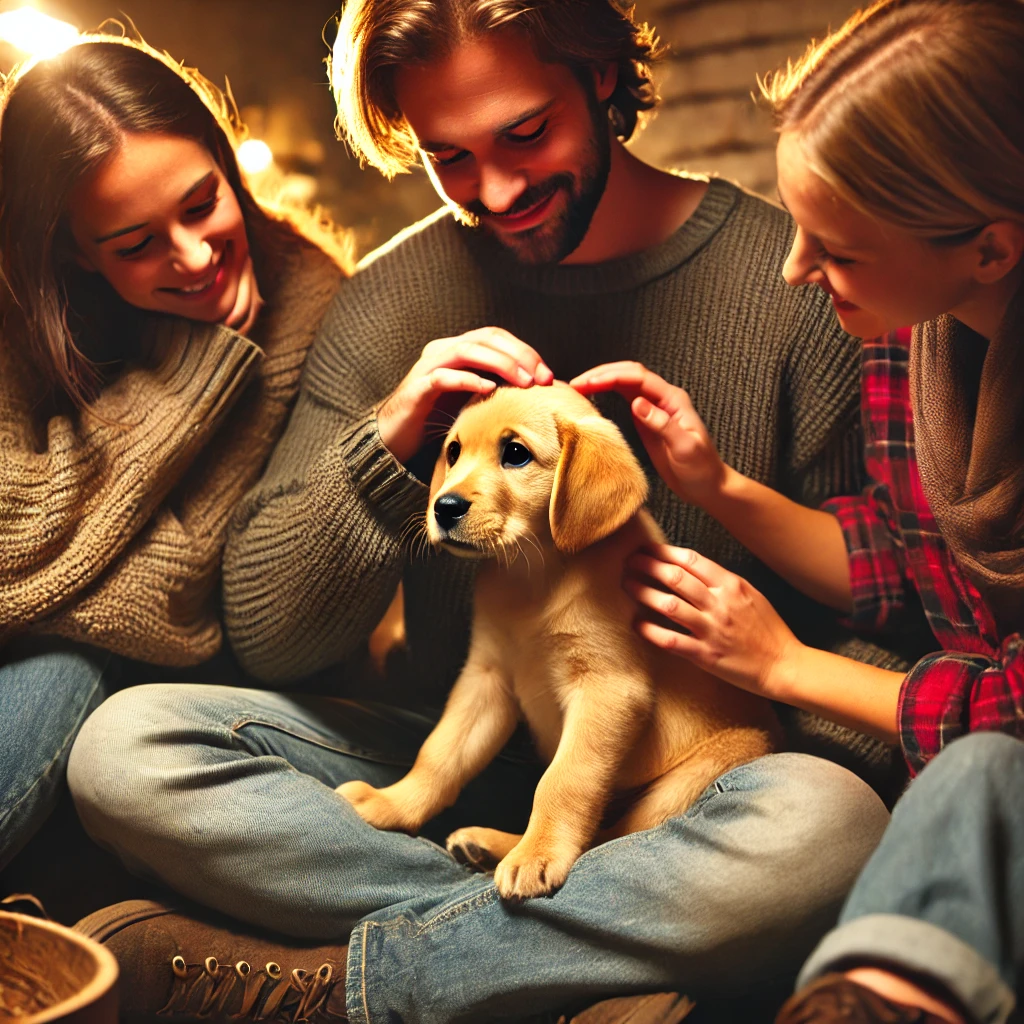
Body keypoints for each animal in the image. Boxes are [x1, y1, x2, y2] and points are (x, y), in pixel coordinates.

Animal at [339, 382, 778, 897]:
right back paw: (490, 844)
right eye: (453, 452)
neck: (535, 575)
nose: (443, 507)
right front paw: (391, 804)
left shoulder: (610, 690)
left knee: (615, 833)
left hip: (711, 763)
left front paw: (540, 853)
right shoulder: (486, 678)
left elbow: (563, 781)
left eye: (515, 453)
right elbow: (440, 754)